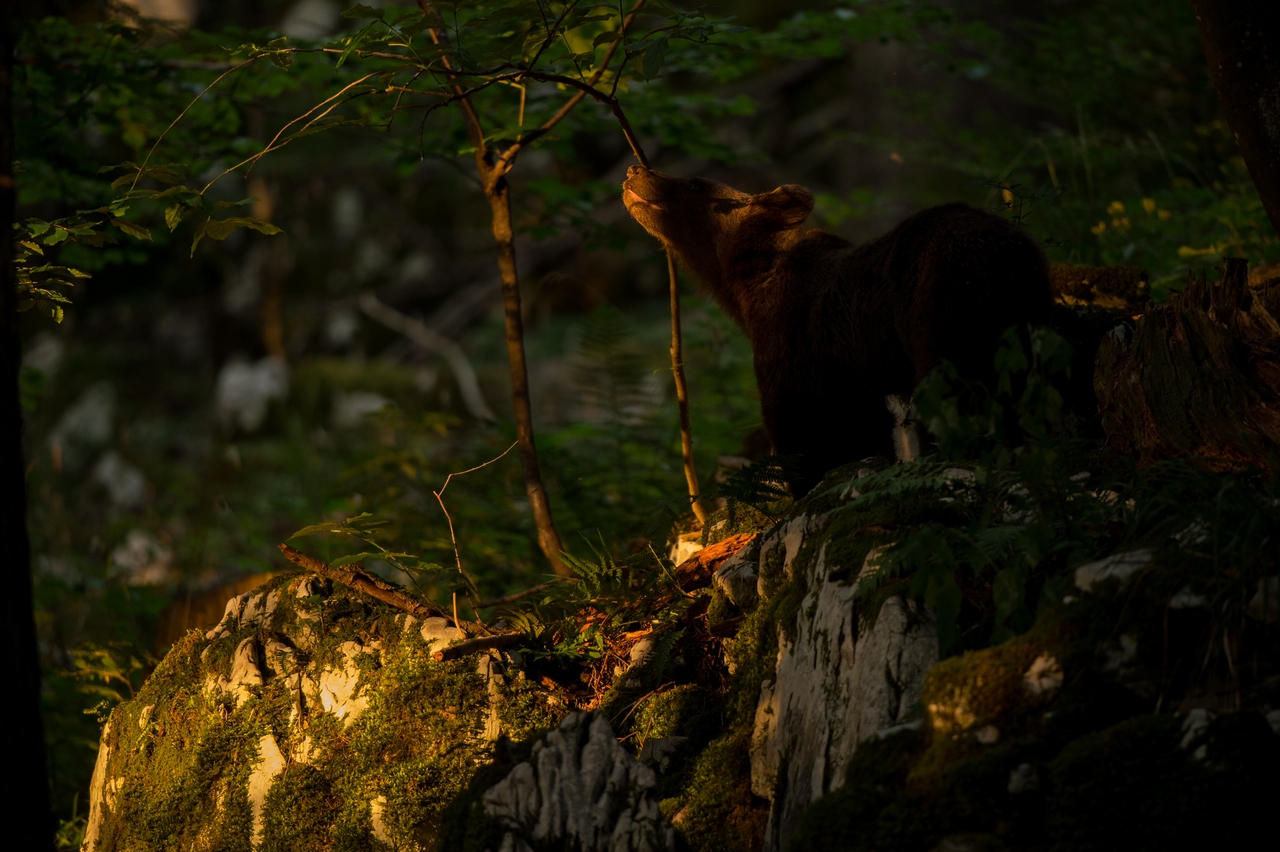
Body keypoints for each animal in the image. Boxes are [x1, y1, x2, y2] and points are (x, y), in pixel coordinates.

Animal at [622, 166, 1053, 496]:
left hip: (947, 306)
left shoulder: (798, 352)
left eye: (696, 183)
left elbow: (808, 438)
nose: (634, 170)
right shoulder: (852, 378)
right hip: (1025, 319)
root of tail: (1008, 250)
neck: (743, 294)